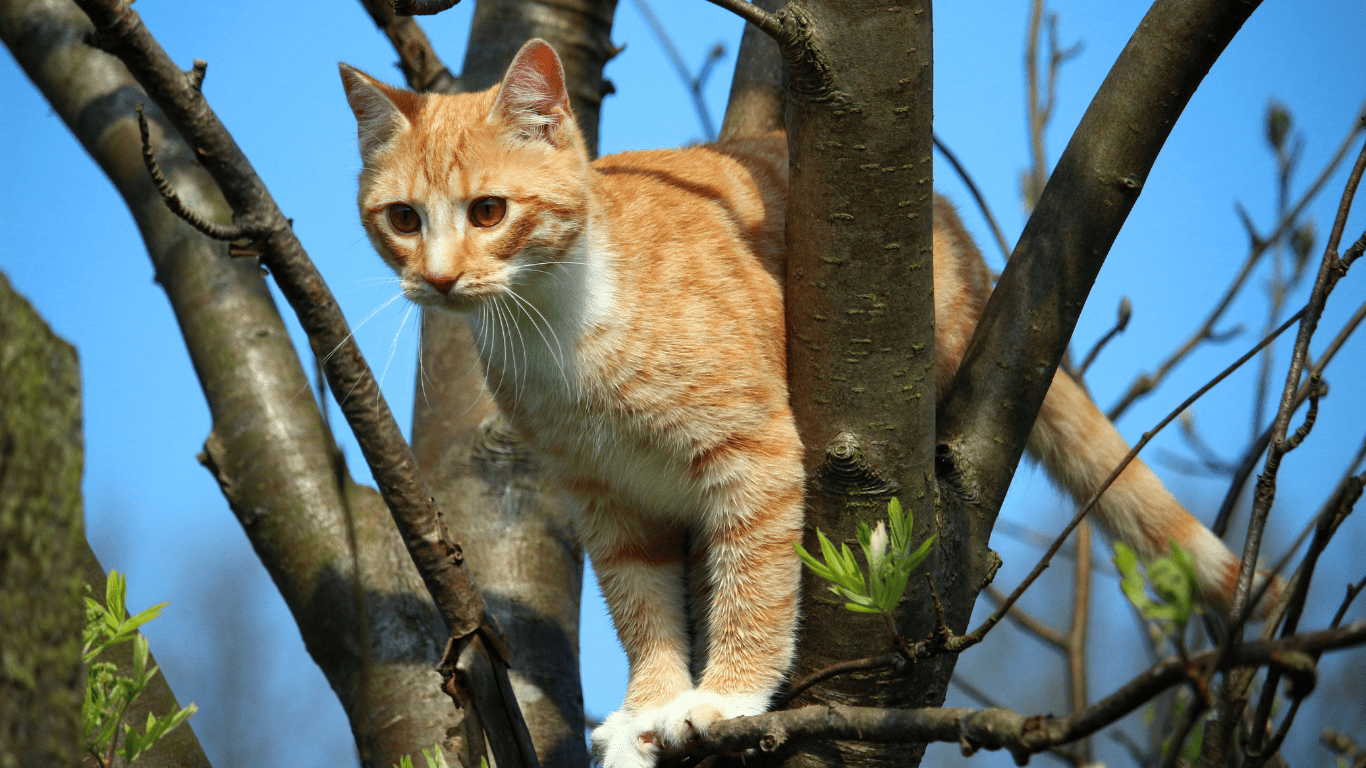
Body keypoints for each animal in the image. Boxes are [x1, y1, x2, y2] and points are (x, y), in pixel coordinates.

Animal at [341, 38, 1278, 765]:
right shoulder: (608, 500)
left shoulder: (750, 448)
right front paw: (649, 708)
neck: (554, 324)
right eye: (402, 219)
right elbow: (641, 606)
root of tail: (962, 240)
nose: (437, 280)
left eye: (489, 211)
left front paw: (724, 698)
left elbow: (754, 584)